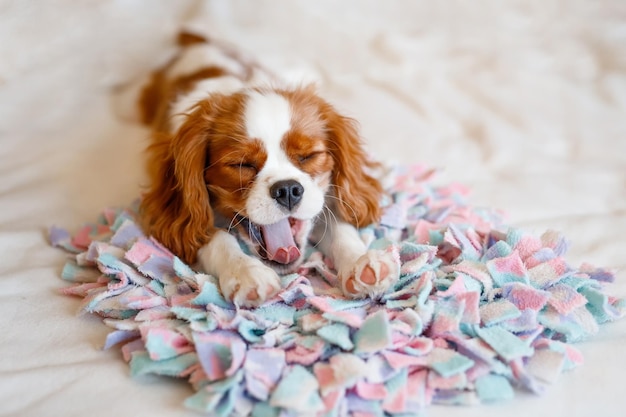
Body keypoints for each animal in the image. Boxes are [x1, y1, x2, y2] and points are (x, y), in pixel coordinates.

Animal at [136, 31, 400, 306]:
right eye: (242, 164)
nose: (288, 189)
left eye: (308, 156)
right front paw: (246, 272)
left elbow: (338, 226)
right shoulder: (184, 215)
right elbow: (214, 237)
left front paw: (361, 262)